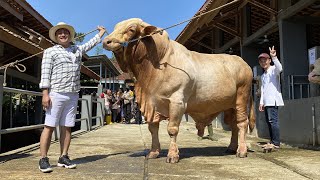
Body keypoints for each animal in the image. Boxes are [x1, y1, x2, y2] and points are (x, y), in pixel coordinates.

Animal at [102, 18, 255, 163]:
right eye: (116, 27)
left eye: (131, 29)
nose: (106, 41)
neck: (157, 63)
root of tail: (244, 64)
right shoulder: (151, 104)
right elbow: (153, 129)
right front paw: (153, 152)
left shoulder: (177, 102)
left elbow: (172, 129)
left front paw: (172, 155)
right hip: (230, 106)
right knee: (234, 125)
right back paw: (231, 148)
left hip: (242, 98)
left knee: (242, 123)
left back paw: (241, 151)